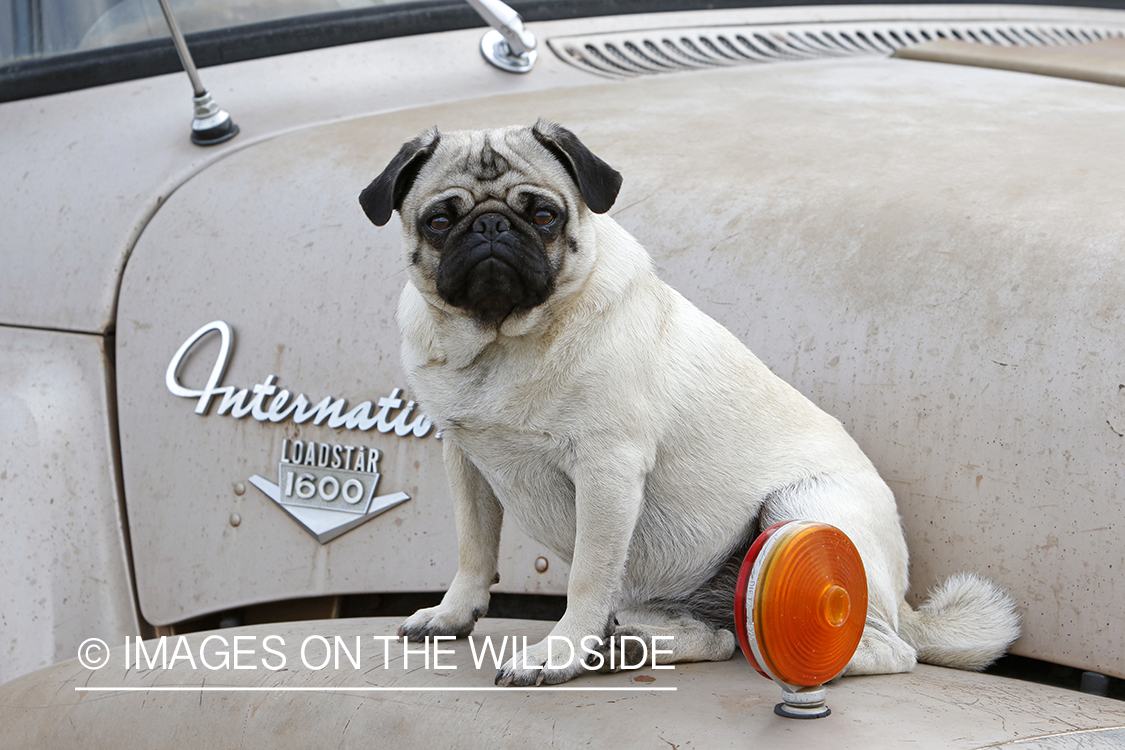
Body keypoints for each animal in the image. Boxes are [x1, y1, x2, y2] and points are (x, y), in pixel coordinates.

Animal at [357, 122, 1021, 688]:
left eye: (544, 215)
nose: (491, 229)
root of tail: (906, 602)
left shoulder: (607, 470)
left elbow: (587, 577)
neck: (501, 342)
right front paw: (452, 614)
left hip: (800, 509)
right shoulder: (466, 459)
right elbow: (474, 548)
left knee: (886, 648)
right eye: (440, 220)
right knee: (720, 639)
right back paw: (629, 644)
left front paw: (561, 651)